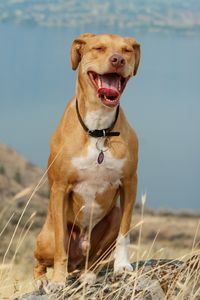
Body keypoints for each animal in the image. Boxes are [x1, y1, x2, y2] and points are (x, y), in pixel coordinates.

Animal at [34, 33, 141, 292]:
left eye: (127, 50)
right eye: (99, 48)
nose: (118, 60)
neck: (98, 129)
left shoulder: (130, 182)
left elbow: (125, 233)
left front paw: (122, 266)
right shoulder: (60, 188)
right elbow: (61, 244)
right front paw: (57, 280)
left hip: (111, 219)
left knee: (91, 259)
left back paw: (88, 275)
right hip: (45, 238)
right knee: (41, 260)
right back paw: (44, 278)